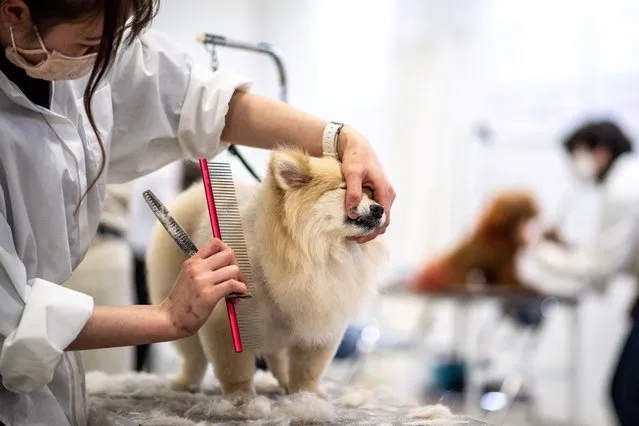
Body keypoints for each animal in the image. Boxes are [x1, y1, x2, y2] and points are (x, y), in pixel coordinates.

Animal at [146, 149, 384, 396]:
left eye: (370, 194)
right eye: (346, 189)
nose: (379, 208)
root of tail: (192, 192)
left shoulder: (319, 323)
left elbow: (308, 370)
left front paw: (306, 396)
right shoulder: (227, 323)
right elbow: (235, 368)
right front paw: (242, 397)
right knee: (194, 357)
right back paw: (186, 382)